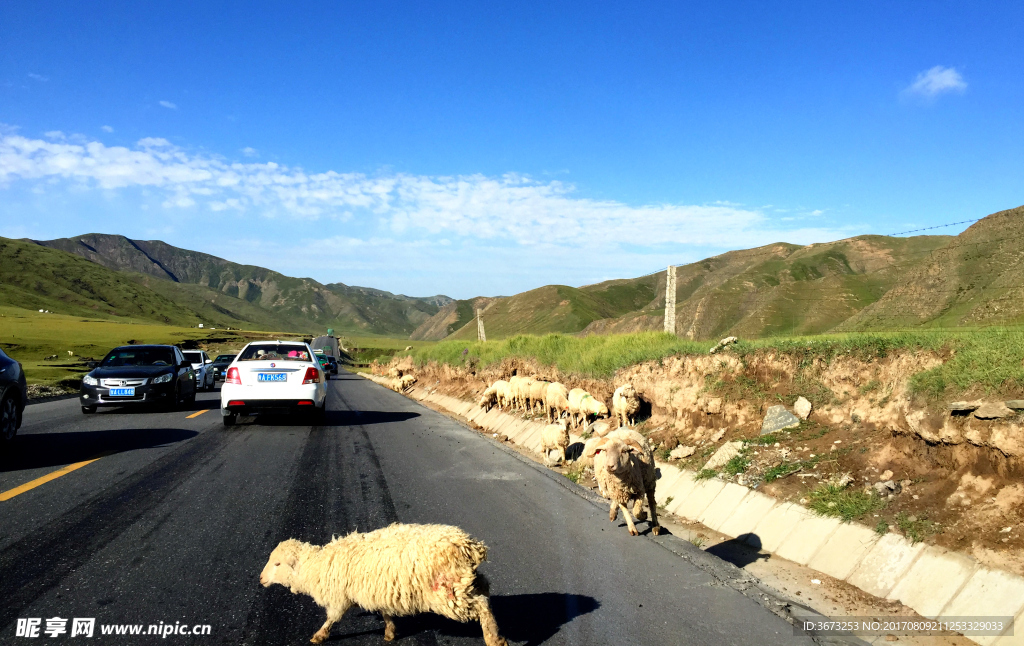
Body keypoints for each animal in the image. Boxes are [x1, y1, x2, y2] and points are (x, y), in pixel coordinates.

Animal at [260, 524, 507, 646]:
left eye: (278, 564)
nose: (261, 579)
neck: (316, 567)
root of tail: (469, 546)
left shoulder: (339, 598)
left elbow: (332, 618)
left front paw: (319, 636)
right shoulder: (379, 591)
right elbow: (385, 612)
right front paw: (389, 632)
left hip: (447, 592)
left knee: (482, 605)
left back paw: (494, 639)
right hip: (463, 581)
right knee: (485, 590)